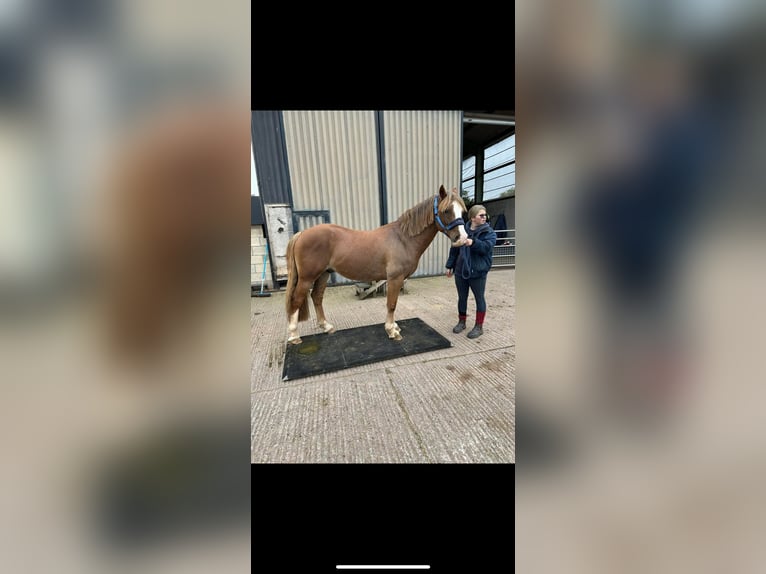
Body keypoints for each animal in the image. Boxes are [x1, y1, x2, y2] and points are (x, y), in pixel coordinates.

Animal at [284, 185, 468, 344]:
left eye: (463, 212)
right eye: (446, 210)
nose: (463, 238)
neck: (403, 239)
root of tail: (301, 234)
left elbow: (394, 303)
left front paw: (394, 327)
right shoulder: (395, 278)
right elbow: (392, 304)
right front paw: (392, 331)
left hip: (324, 274)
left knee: (317, 297)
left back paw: (326, 327)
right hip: (307, 278)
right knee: (296, 300)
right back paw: (294, 336)